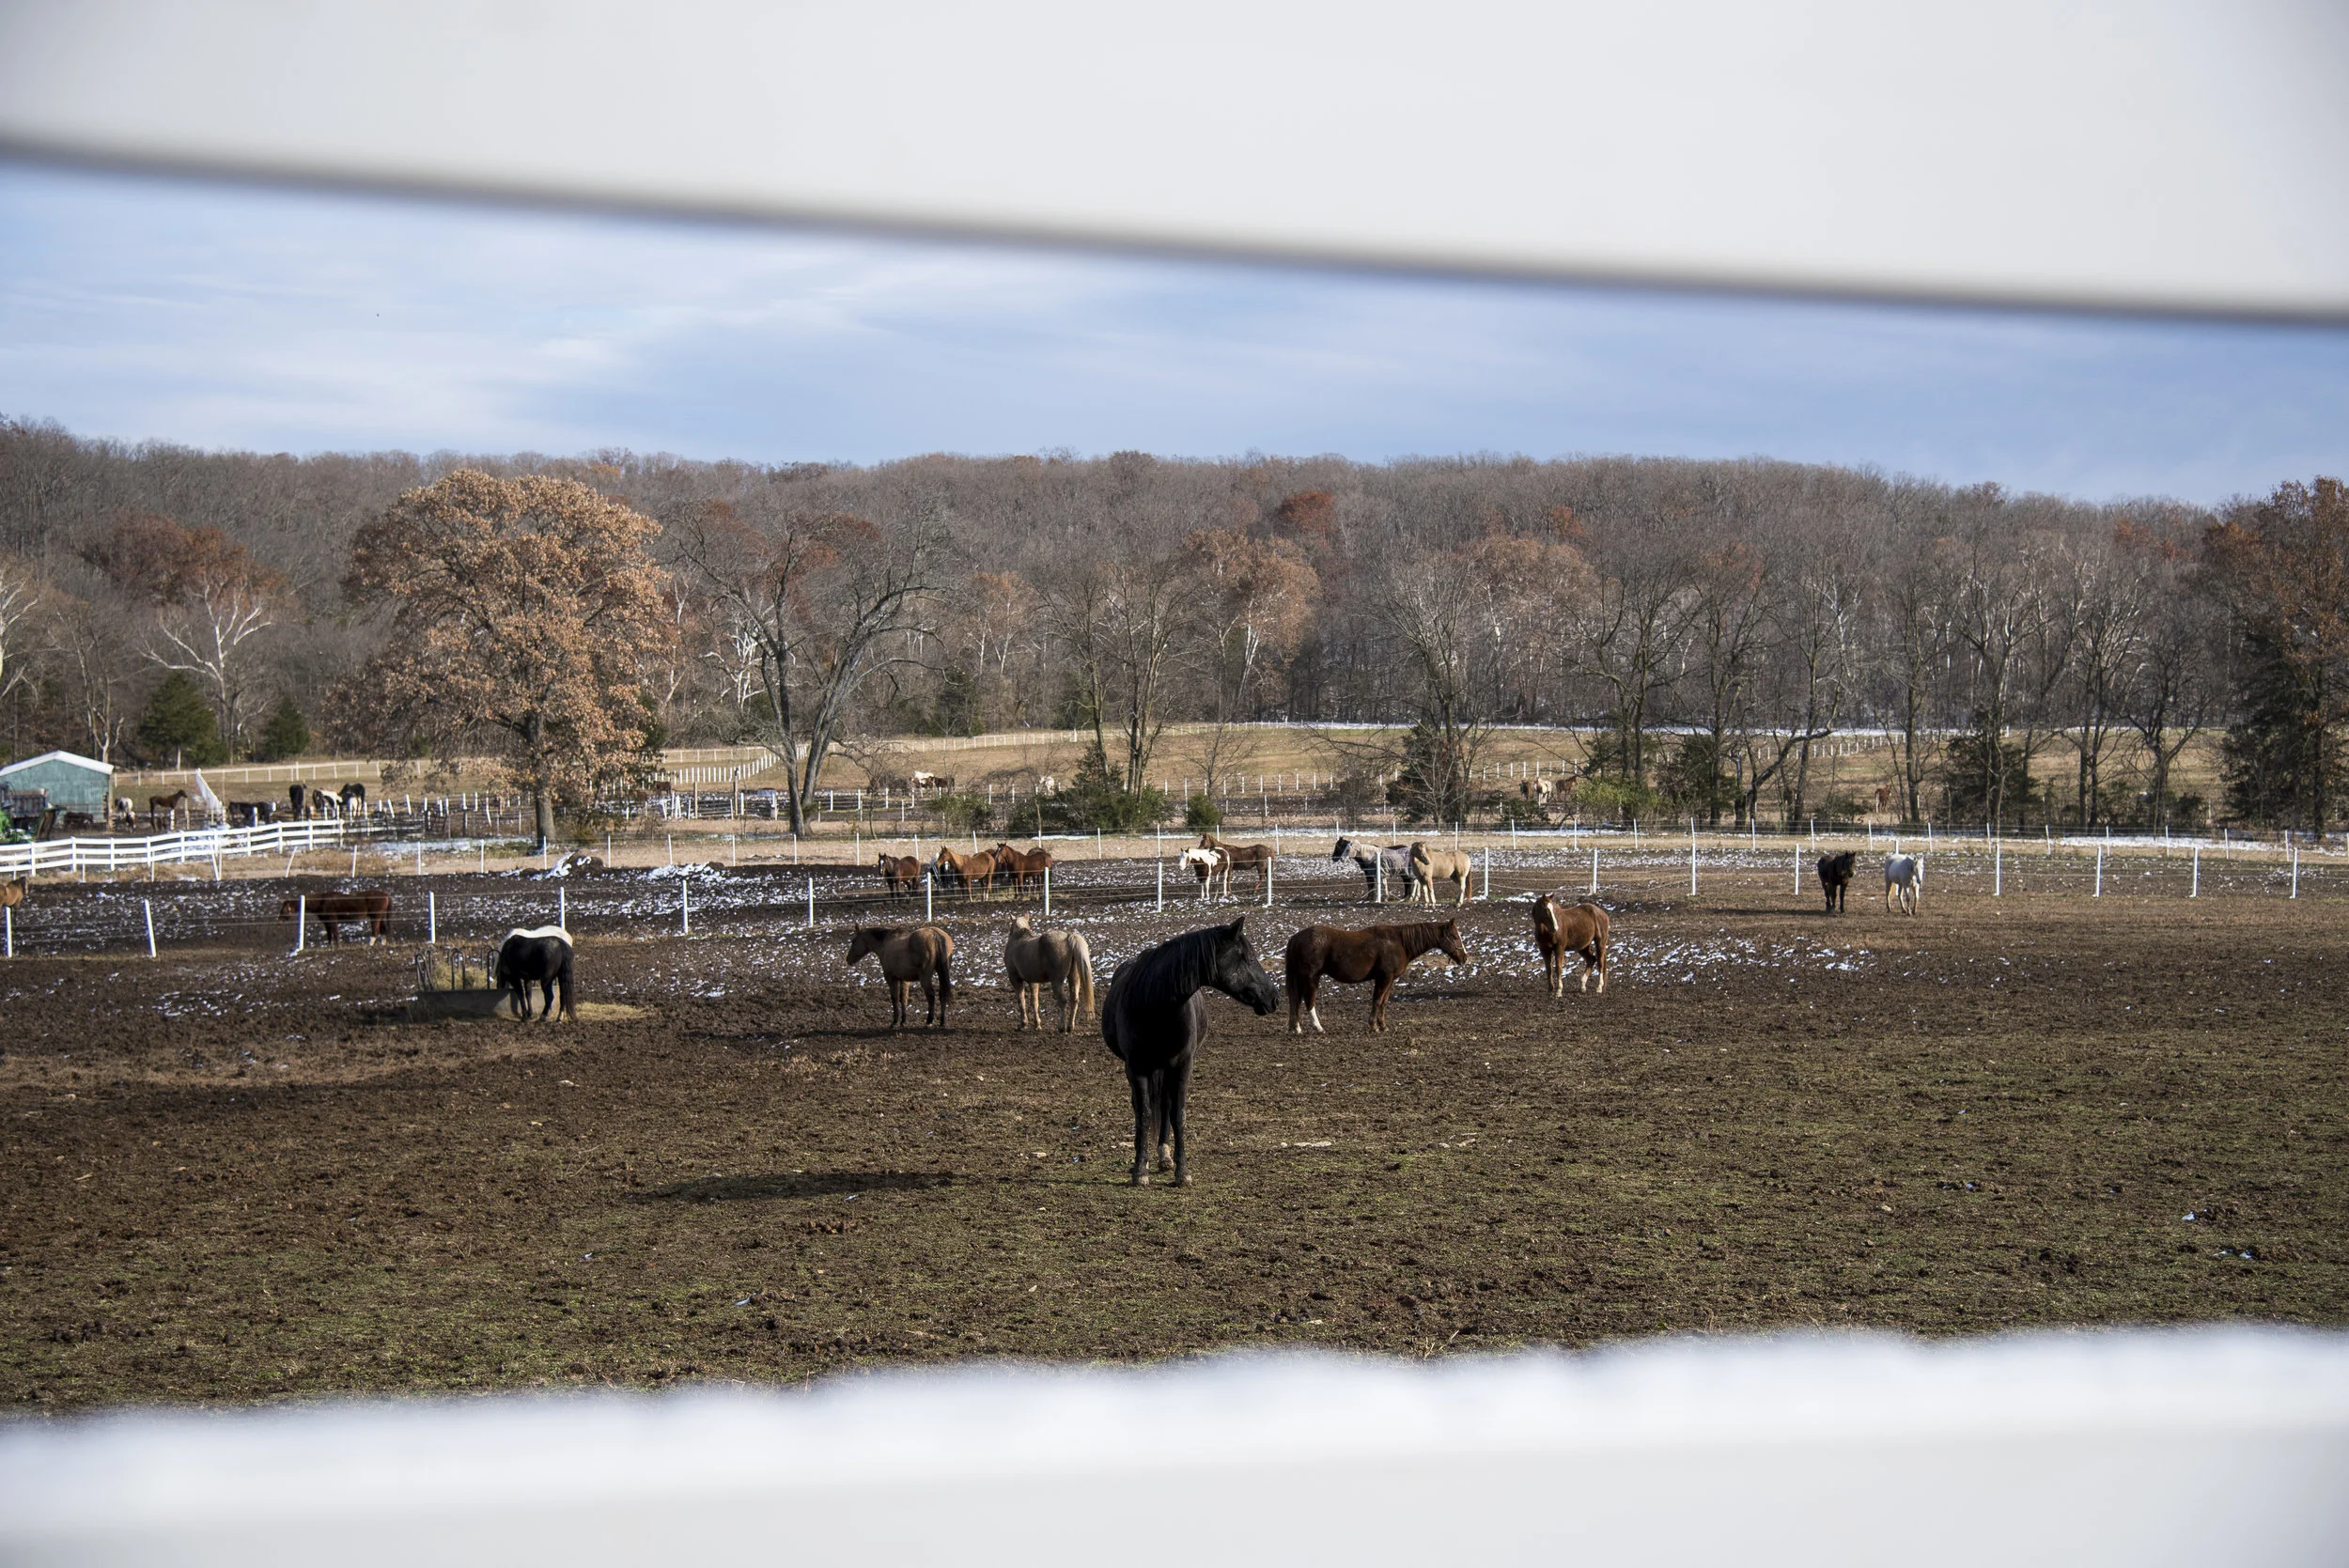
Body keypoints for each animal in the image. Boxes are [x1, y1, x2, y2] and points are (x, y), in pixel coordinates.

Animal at [1101, 916, 1279, 1185]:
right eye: (1247, 958)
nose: (1274, 997)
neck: (1156, 1006)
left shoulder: (1183, 1065)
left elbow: (1178, 1115)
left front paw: (1182, 1172)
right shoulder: (1136, 1068)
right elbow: (1143, 1114)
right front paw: (1140, 1170)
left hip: (1166, 1068)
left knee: (1165, 1106)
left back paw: (1164, 1156)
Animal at [1284, 919, 1465, 1034]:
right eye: (1454, 936)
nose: (1464, 957)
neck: (1399, 942)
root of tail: (1296, 938)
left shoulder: (1390, 980)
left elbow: (1383, 1002)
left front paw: (1383, 1026)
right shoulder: (1384, 978)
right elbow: (1377, 1001)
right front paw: (1373, 1026)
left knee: (1296, 1000)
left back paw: (1296, 1028)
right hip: (1311, 978)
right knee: (1308, 1000)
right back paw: (1318, 1028)